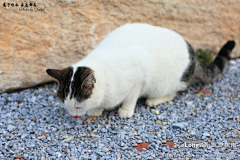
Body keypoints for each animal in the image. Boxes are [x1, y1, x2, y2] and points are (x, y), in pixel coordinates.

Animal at [46, 22, 235, 118]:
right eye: (65, 105)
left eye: (78, 106)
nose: (73, 115)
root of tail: (193, 53)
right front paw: (97, 109)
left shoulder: (137, 79)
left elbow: (131, 97)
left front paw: (125, 110)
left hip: (164, 83)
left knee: (174, 92)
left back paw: (154, 100)